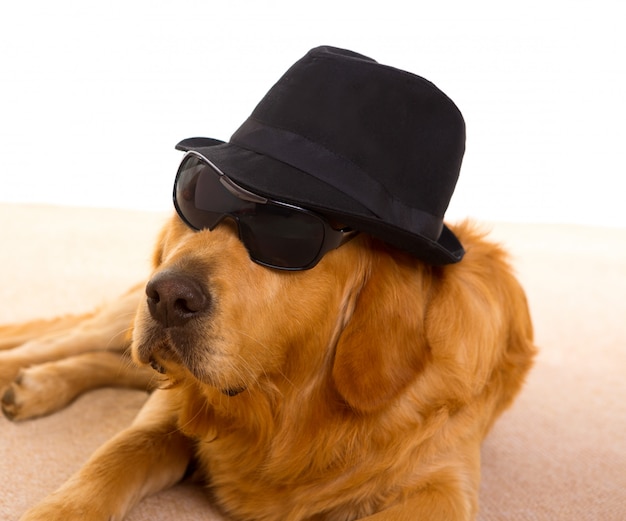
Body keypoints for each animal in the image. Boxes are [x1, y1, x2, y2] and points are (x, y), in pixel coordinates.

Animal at [1, 46, 536, 516]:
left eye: (286, 234)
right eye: (196, 199)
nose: (169, 296)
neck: (286, 411)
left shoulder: (441, 487)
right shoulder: (167, 411)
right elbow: (114, 458)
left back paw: (37, 385)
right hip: (123, 322)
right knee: (51, 344)